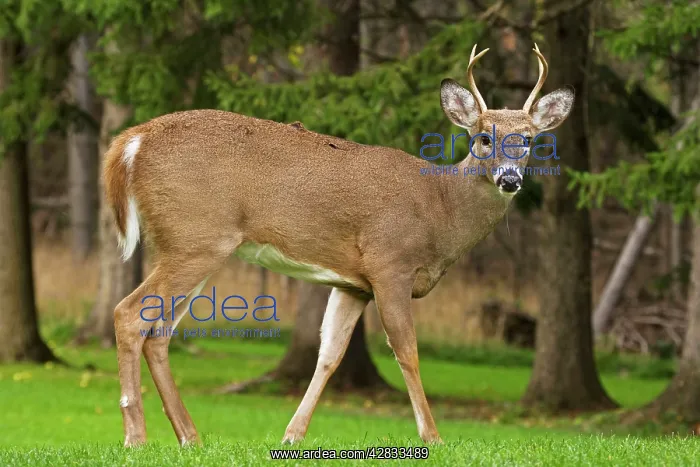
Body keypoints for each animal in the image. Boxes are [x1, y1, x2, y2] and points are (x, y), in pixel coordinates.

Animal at [104, 43, 573, 447]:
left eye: (528, 139)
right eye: (483, 137)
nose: (509, 179)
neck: (439, 209)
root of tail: (131, 142)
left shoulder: (353, 284)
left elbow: (329, 354)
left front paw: (292, 435)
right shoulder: (390, 264)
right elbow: (407, 351)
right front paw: (433, 436)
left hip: (195, 246)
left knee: (158, 331)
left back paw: (190, 437)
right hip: (195, 238)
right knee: (129, 314)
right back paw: (136, 437)